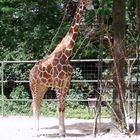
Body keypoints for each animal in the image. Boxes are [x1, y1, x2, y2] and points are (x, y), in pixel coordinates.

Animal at [29, 0, 93, 137]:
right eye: (85, 0)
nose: (92, 6)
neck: (67, 53)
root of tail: (30, 72)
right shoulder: (58, 82)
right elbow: (59, 106)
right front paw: (60, 133)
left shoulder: (66, 82)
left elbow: (63, 107)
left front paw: (64, 132)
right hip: (34, 86)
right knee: (34, 105)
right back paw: (35, 132)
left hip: (43, 87)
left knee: (37, 105)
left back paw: (38, 131)